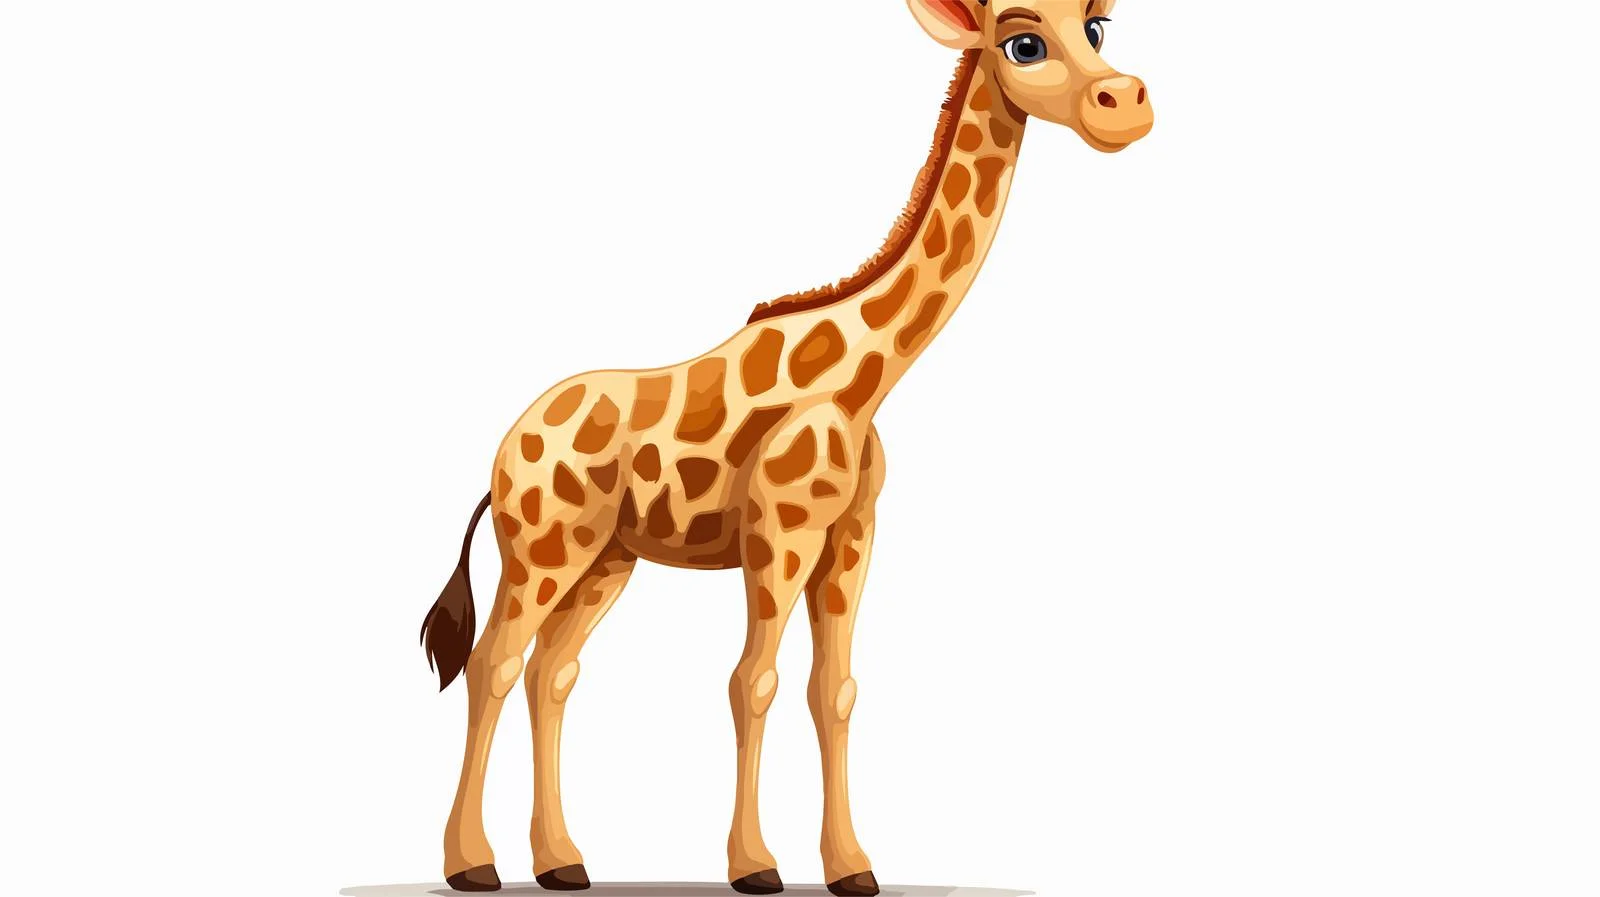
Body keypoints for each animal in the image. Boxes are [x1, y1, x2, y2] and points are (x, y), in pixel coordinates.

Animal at [417, 2, 1153, 894]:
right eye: (1024, 42)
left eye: (1099, 28)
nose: (1127, 104)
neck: (863, 378)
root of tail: (500, 454)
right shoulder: (780, 530)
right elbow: (752, 680)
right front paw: (755, 864)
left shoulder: (851, 535)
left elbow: (834, 688)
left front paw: (852, 867)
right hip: (542, 550)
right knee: (491, 661)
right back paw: (472, 862)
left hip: (606, 559)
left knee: (548, 672)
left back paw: (562, 860)